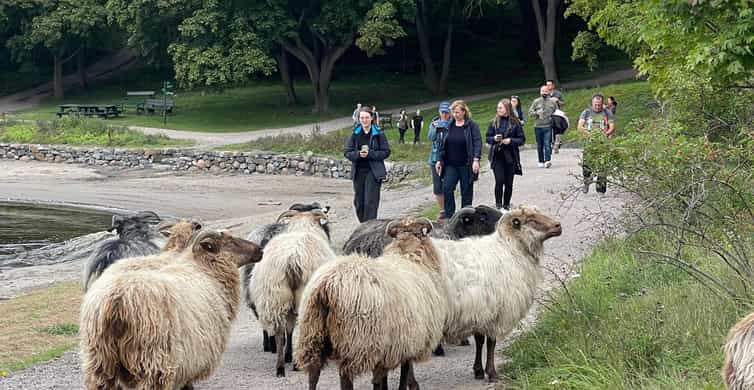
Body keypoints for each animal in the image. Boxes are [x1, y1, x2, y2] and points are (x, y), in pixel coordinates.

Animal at [79, 232, 262, 390]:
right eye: (231, 241)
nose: (260, 249)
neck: (204, 270)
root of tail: (116, 301)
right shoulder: (193, 358)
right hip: (153, 362)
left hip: (101, 362)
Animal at [247, 209, 332, 376]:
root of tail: (292, 259)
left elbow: (289, 330)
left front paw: (288, 356)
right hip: (302, 295)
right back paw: (296, 364)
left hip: (275, 295)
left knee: (279, 331)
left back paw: (280, 367)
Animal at [294, 216, 446, 390]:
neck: (408, 256)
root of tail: (327, 285)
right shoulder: (409, 341)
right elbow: (404, 371)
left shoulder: (391, 347)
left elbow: (384, 377)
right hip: (356, 343)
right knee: (345, 379)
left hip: (312, 334)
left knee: (313, 375)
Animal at [428, 206, 560, 382]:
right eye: (531, 220)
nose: (558, 225)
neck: (510, 250)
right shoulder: (496, 312)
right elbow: (491, 342)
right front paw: (491, 373)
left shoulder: (481, 311)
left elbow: (480, 341)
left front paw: (478, 370)